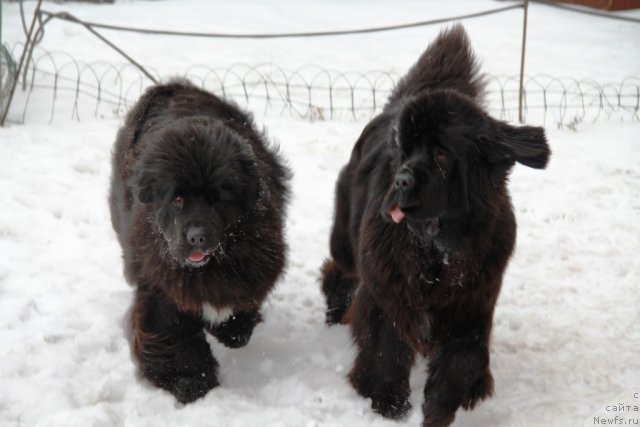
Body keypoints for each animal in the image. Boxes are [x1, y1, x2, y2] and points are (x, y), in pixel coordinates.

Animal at [110, 79, 290, 404]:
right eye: (177, 199)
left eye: (217, 198)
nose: (196, 235)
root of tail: (168, 85)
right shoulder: (160, 282)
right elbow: (171, 330)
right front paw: (191, 381)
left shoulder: (256, 261)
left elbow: (240, 300)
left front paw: (231, 330)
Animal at [320, 25, 552, 426]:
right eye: (405, 151)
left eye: (442, 153)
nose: (401, 179)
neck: (438, 249)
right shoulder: (389, 293)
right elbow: (385, 349)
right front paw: (388, 403)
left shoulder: (472, 303)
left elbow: (464, 359)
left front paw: (439, 406)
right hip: (346, 239)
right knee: (341, 267)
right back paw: (335, 310)